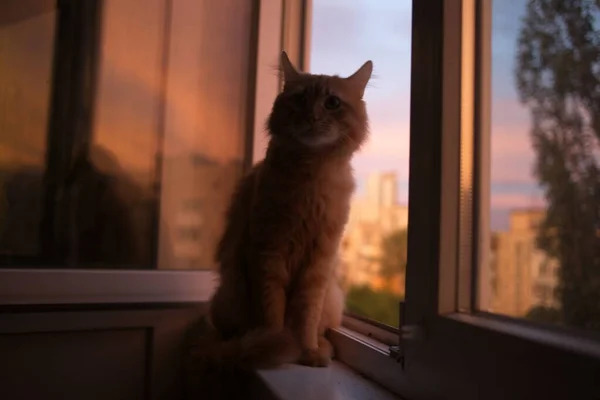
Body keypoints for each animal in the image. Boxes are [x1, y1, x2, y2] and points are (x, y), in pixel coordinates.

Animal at [191, 51, 370, 370]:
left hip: (332, 298)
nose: (312, 116)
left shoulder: (318, 261)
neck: (310, 180)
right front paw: (275, 344)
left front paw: (307, 351)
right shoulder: (268, 252)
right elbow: (272, 311)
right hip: (228, 299)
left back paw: (322, 347)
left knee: (322, 327)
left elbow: (306, 315)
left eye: (332, 103)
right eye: (300, 99)